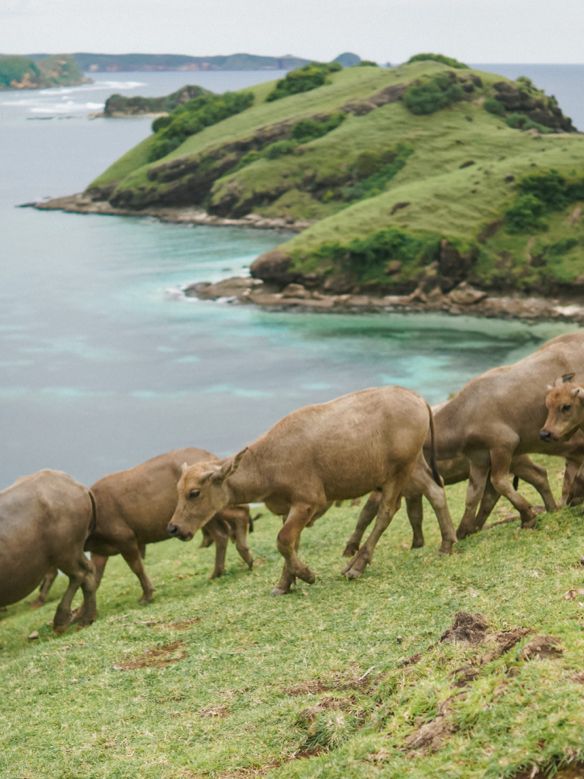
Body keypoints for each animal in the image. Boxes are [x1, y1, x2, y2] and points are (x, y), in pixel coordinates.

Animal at [0, 470, 96, 632]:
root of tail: (77, 486)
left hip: (65, 552)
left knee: (79, 574)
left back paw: (62, 619)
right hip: (73, 550)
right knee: (88, 572)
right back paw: (85, 618)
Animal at [35, 448, 254, 608]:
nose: (38, 598)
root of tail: (212, 458)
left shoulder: (126, 539)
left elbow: (137, 568)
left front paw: (147, 594)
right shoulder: (100, 551)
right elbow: (95, 579)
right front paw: (79, 613)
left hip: (211, 510)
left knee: (240, 514)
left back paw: (245, 556)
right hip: (204, 516)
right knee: (221, 533)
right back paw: (219, 570)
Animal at [167, 386, 458, 596]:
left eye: (194, 492)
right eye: (178, 490)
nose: (174, 527)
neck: (266, 463)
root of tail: (416, 397)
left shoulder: (308, 502)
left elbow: (283, 540)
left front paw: (305, 575)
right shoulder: (288, 508)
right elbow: (291, 542)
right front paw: (285, 583)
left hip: (399, 471)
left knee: (387, 510)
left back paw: (356, 566)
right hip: (414, 464)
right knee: (435, 491)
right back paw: (447, 543)